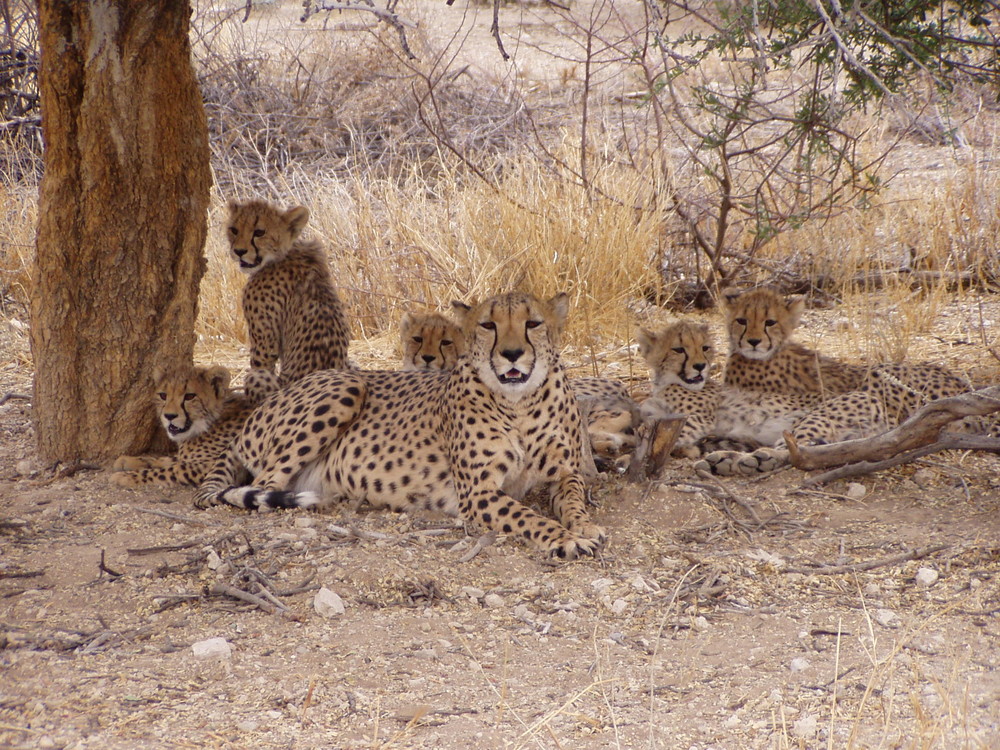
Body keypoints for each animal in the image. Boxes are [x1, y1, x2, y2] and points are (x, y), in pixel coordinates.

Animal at [193, 292, 600, 560]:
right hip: (346, 385)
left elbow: (575, 500)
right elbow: (526, 515)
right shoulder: (477, 492)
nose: (512, 354)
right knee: (264, 489)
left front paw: (583, 527)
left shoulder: (565, 473)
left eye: (534, 324)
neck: (519, 402)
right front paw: (563, 538)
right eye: (488, 325)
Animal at [227, 200, 352, 406]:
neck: (284, 253)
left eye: (259, 232)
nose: (239, 252)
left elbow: (260, 363)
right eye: (234, 230)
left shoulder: (264, 346)